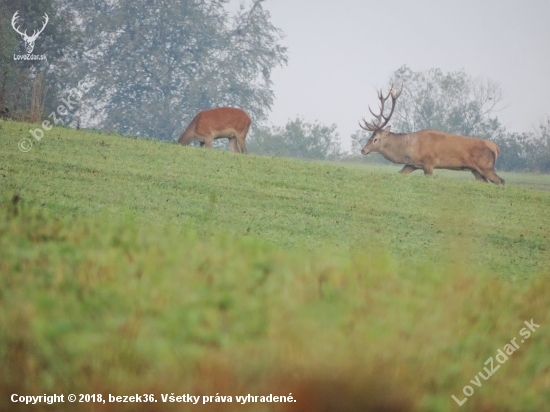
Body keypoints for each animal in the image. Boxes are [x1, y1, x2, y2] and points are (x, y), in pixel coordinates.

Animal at [360, 86, 506, 184]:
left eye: (375, 139)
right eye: (370, 136)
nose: (363, 150)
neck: (410, 148)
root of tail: (496, 148)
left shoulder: (428, 163)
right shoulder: (411, 164)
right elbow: (400, 174)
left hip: (486, 166)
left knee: (501, 181)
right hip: (476, 170)